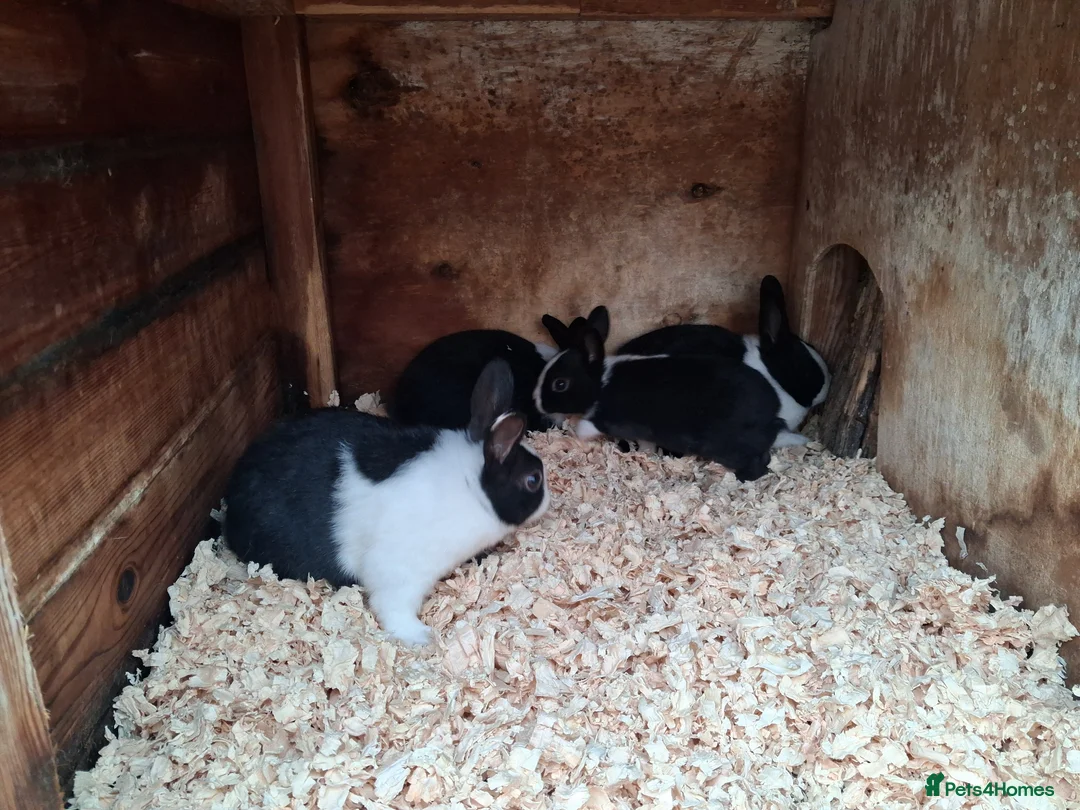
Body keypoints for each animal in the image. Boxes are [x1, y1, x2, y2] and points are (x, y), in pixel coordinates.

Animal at [224, 358, 549, 646]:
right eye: (533, 480)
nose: (548, 501)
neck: (471, 486)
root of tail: (231, 516)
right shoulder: (401, 569)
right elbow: (393, 607)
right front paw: (422, 638)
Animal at [532, 322, 784, 481]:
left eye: (560, 384)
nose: (535, 400)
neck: (600, 383)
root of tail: (773, 412)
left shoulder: (611, 418)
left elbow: (587, 426)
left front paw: (578, 436)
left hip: (729, 445)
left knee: (759, 460)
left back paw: (743, 478)